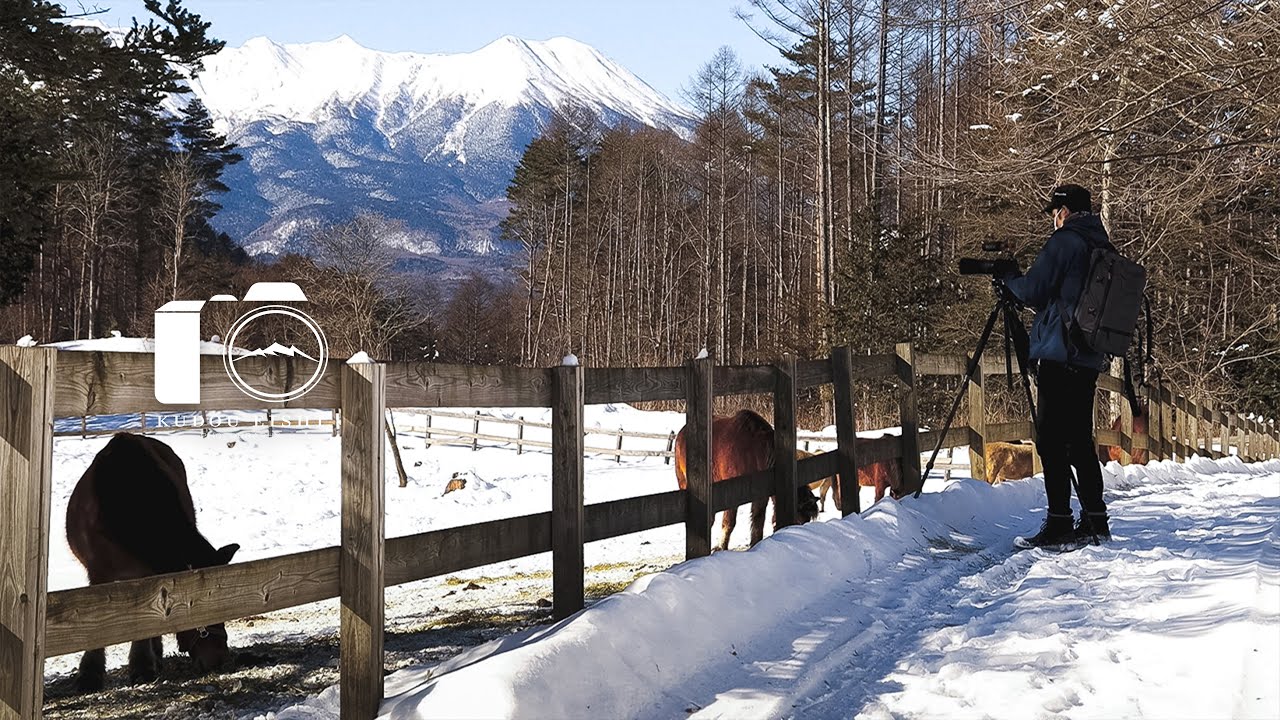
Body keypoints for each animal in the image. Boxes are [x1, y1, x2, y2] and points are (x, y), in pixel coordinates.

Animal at [66, 433, 240, 691]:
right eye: (197, 605)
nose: (218, 660)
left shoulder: (147, 574)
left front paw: (142, 667)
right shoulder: (97, 574)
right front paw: (89, 675)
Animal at [674, 410, 819, 550]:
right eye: (799, 521)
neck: (754, 452)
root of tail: (682, 432)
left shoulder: (761, 495)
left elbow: (758, 519)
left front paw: (755, 544)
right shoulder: (731, 495)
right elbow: (729, 523)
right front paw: (722, 547)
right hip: (684, 482)